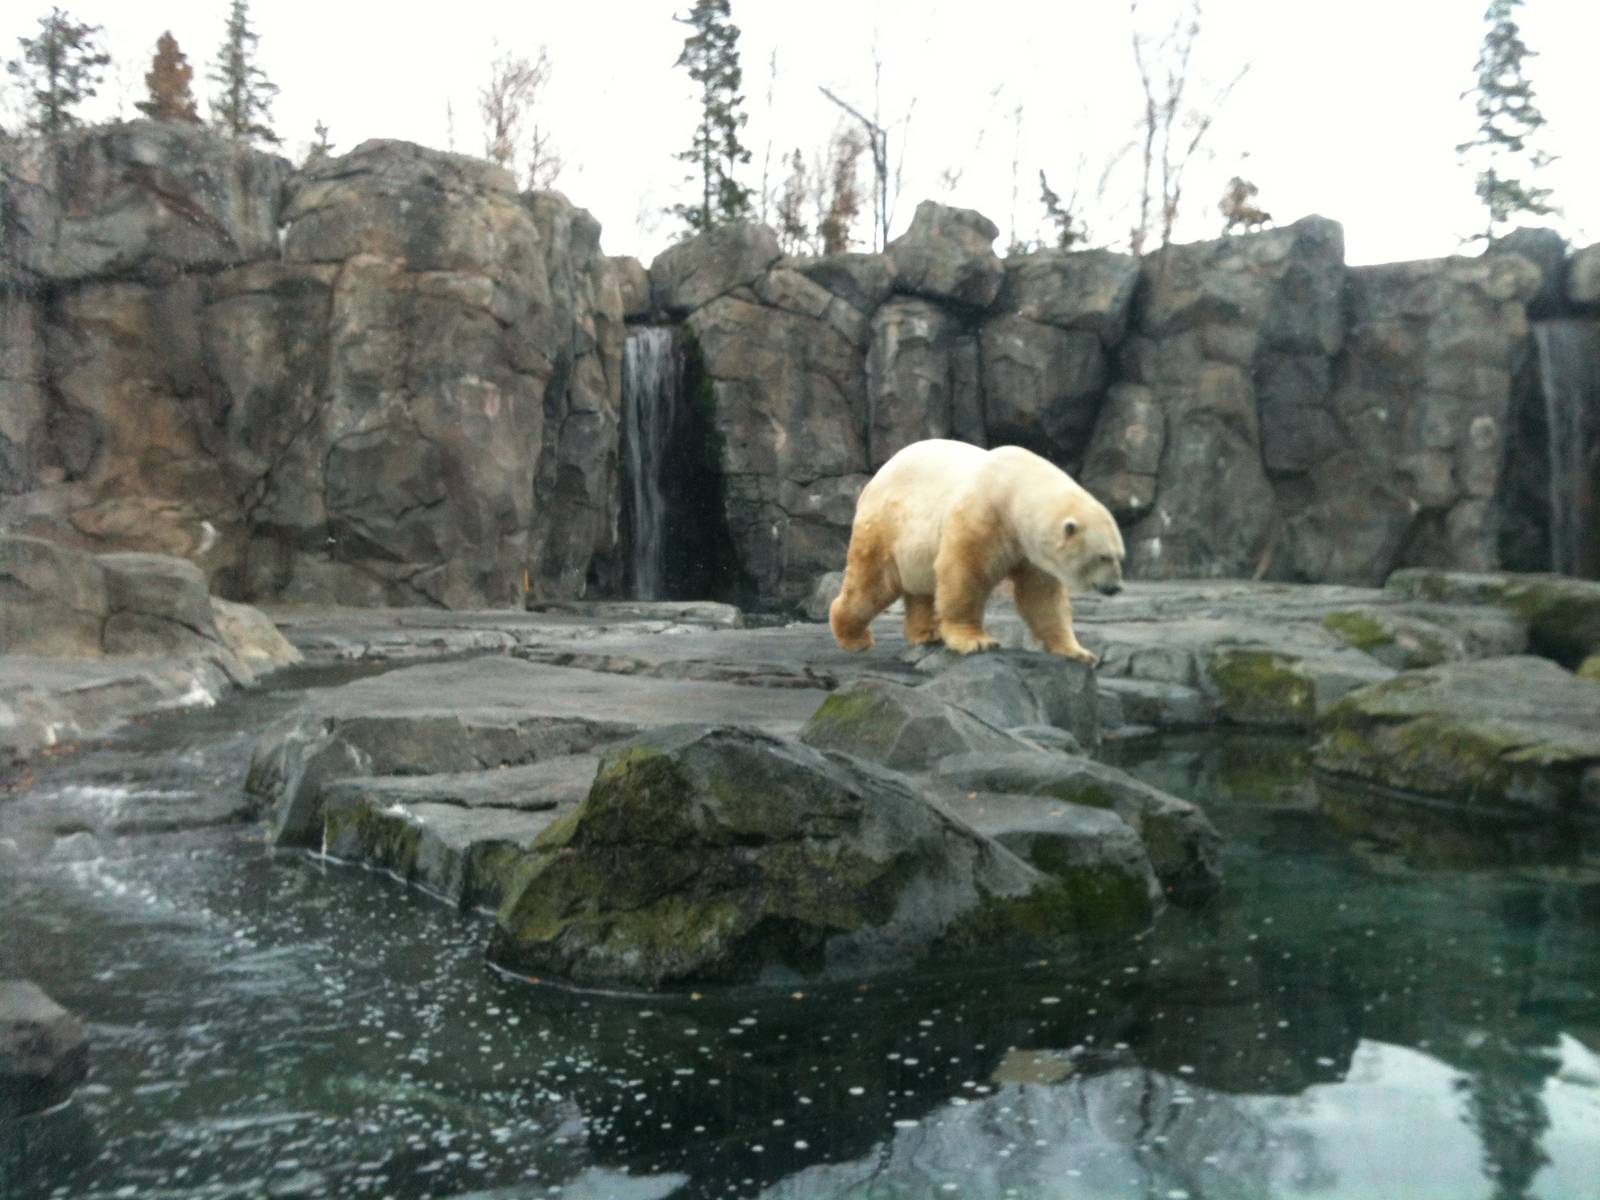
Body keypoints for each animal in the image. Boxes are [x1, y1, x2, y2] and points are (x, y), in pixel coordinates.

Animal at [829, 439, 1124, 664]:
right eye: (1103, 557)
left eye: (1120, 556)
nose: (1115, 588)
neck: (1014, 489)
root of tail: (875, 479)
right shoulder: (983, 515)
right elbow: (964, 574)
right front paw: (977, 641)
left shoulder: (1030, 550)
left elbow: (1042, 597)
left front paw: (1079, 652)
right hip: (887, 524)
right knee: (871, 585)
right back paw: (854, 638)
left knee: (921, 588)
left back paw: (927, 633)